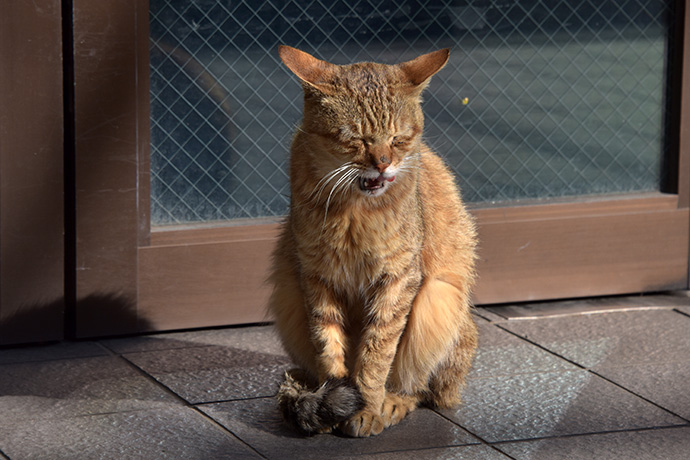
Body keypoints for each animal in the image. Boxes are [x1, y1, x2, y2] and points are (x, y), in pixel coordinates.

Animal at [266, 46, 476, 438]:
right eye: (357, 138)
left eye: (398, 138)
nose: (383, 163)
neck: (352, 211)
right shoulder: (316, 277)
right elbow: (328, 346)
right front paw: (336, 400)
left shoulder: (398, 279)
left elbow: (377, 352)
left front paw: (366, 406)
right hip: (288, 295)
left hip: (440, 300)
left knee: (423, 388)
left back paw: (394, 401)